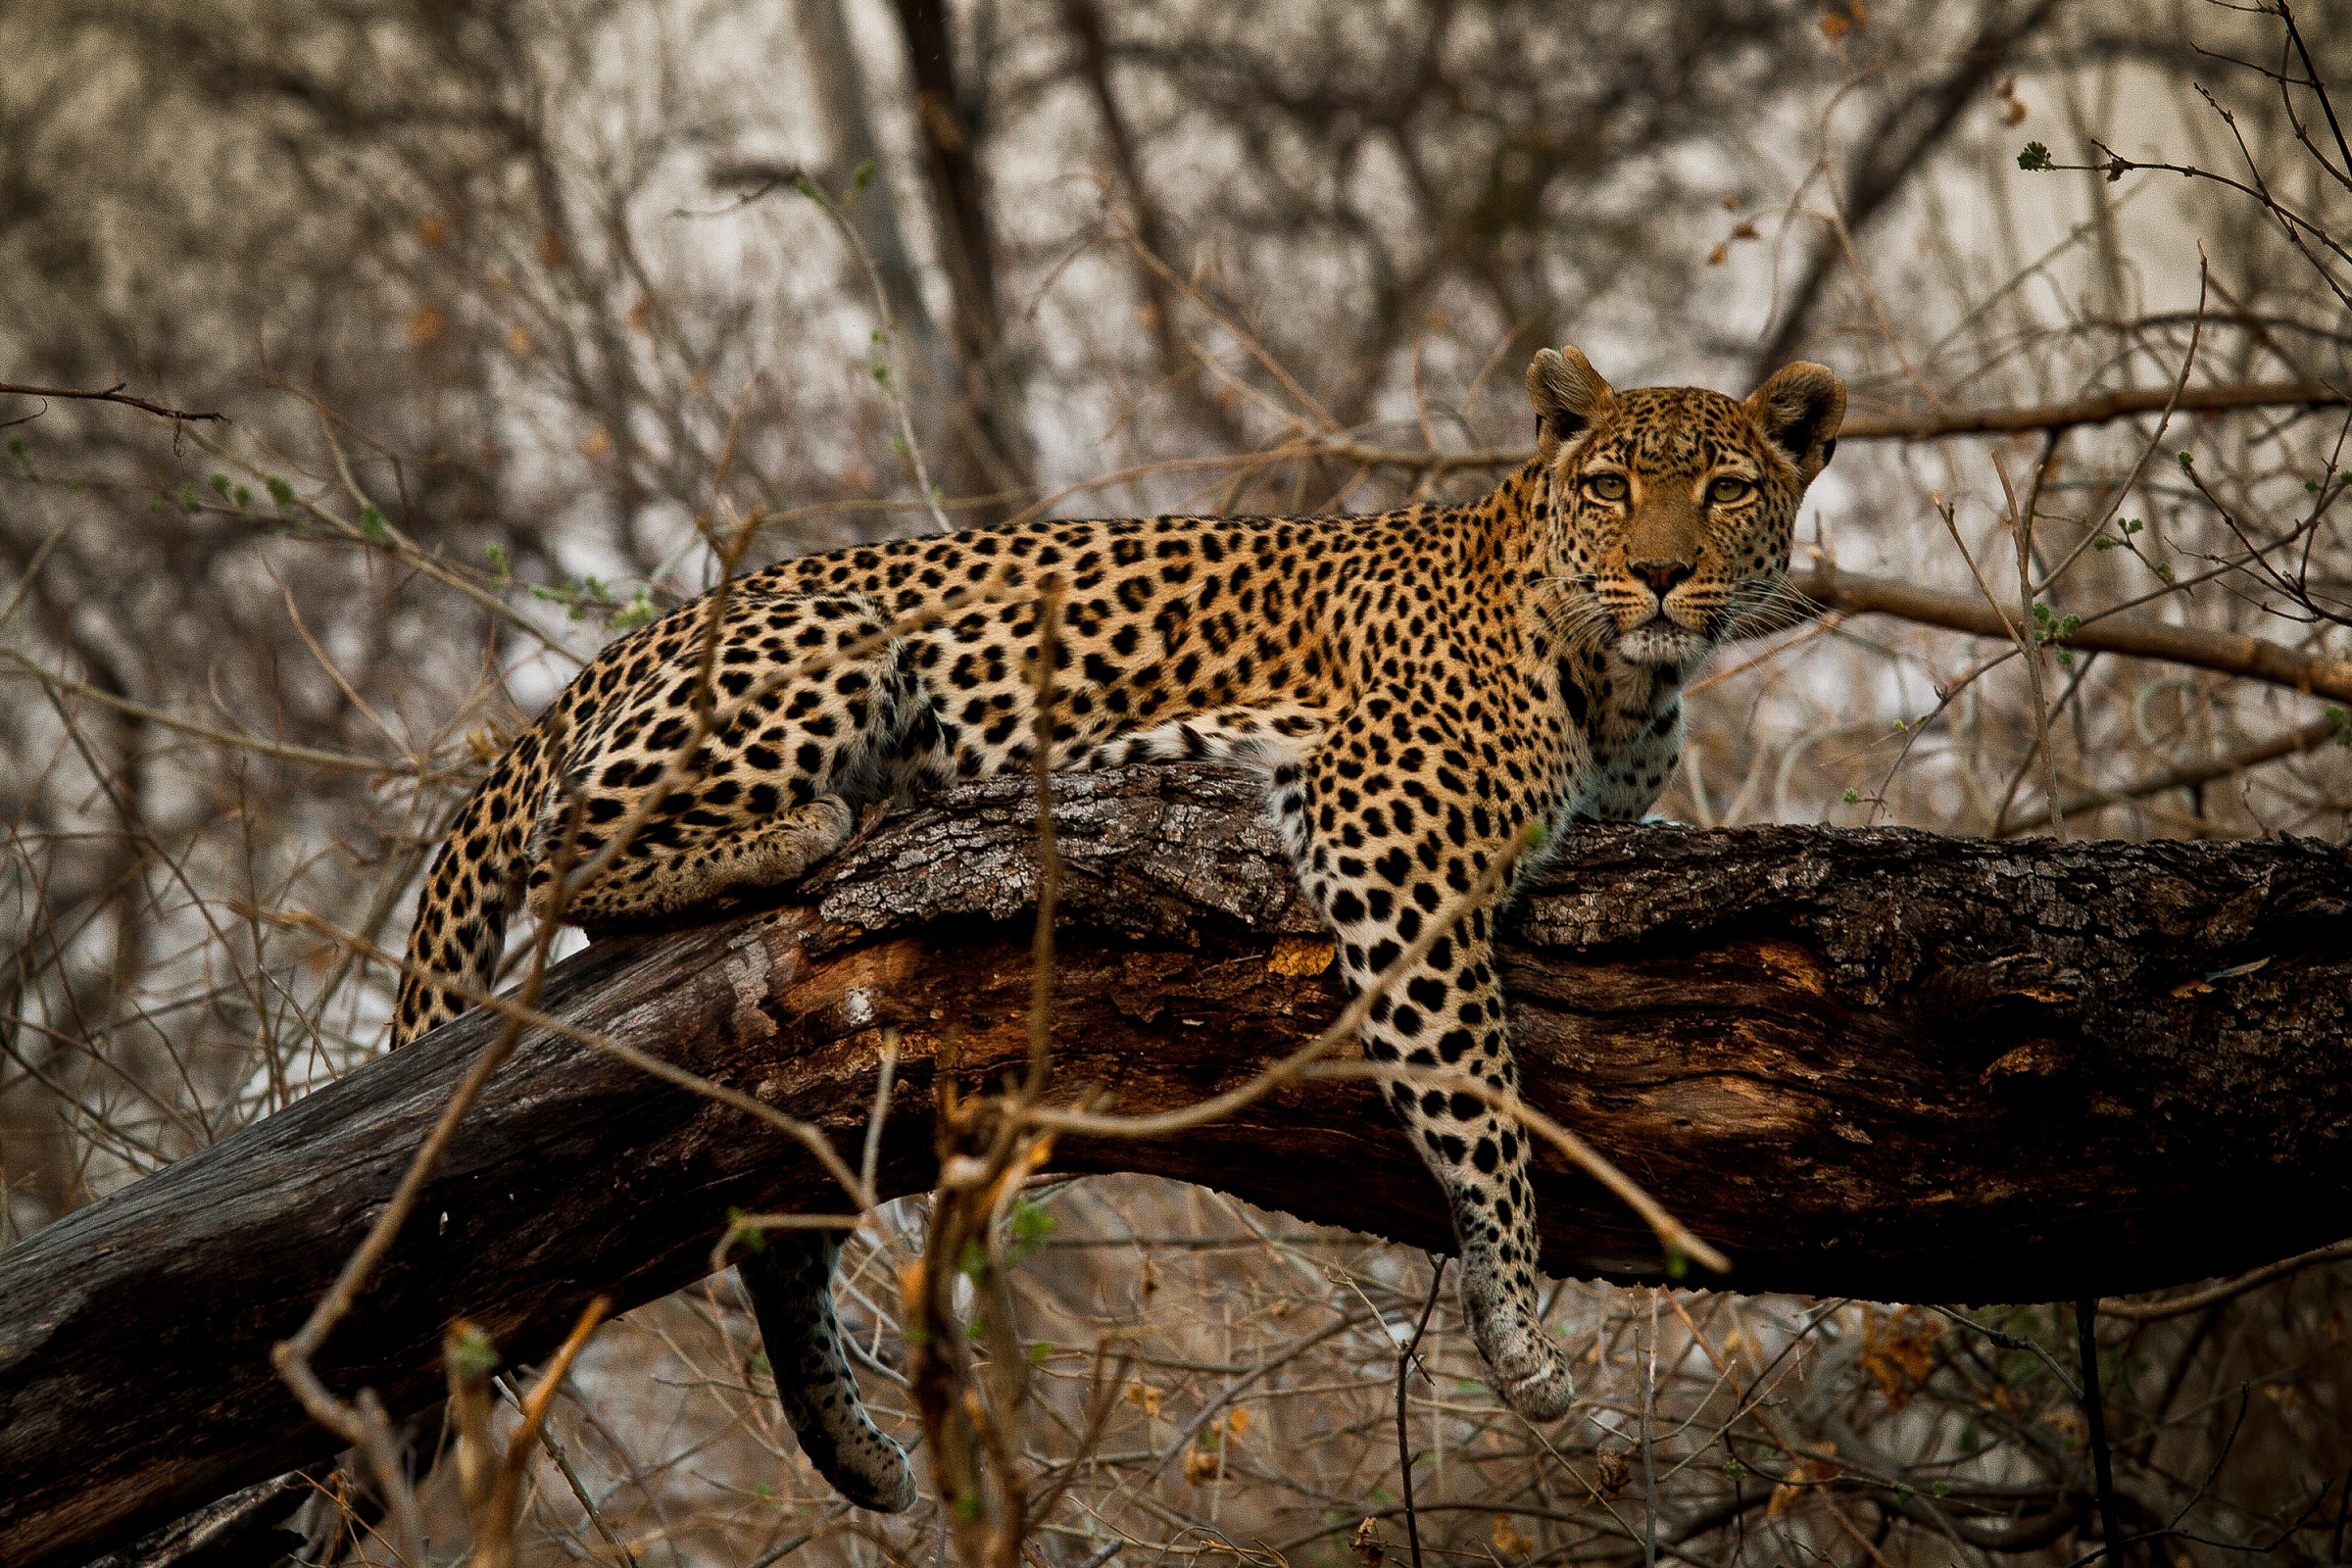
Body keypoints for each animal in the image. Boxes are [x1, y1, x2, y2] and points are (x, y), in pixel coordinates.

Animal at [389, 347, 1845, 1511]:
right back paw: (799, 827)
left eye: (1725, 489)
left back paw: (852, 1449)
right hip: (832, 644)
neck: (1623, 679)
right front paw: (1519, 1324)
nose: (1658, 574)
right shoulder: (1389, 838)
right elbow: (1476, 1097)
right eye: (1611, 486)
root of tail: (613, 657)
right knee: (562, 855)